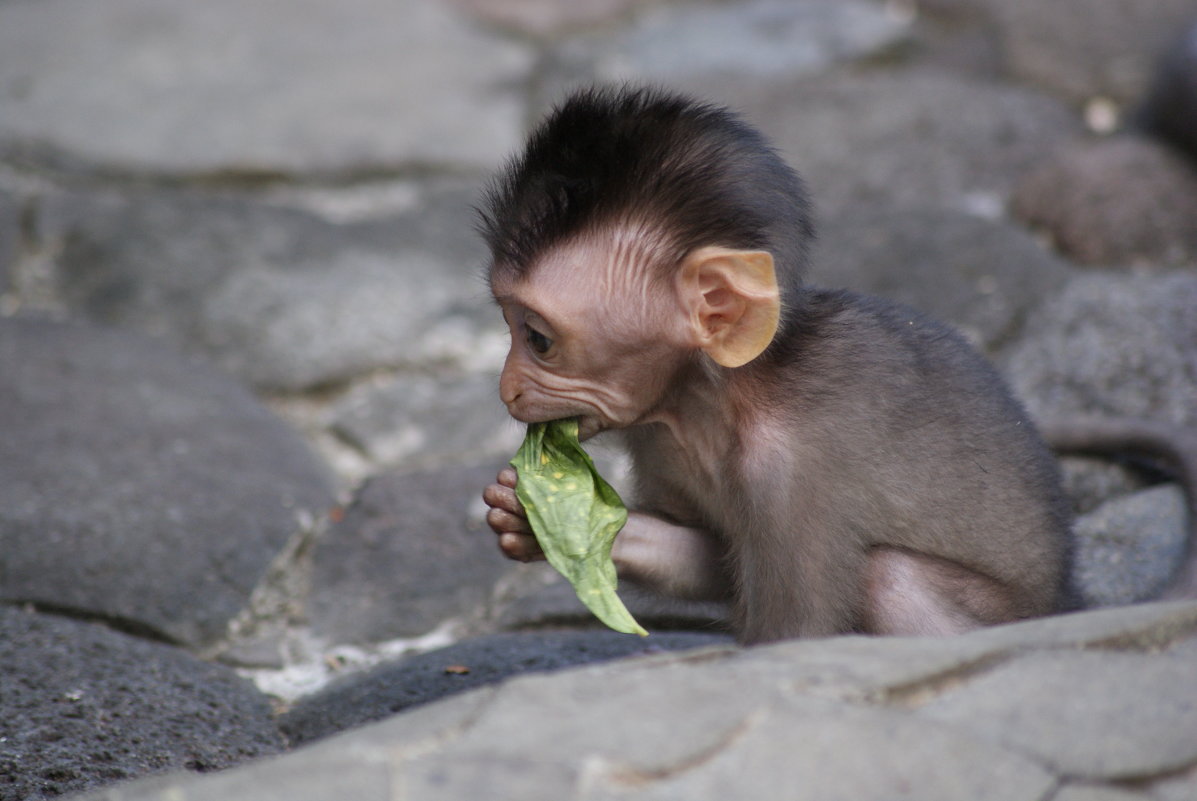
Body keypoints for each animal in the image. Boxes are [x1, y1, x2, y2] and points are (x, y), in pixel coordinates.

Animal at [476, 84, 1187, 641]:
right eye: (507, 324)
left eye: (537, 338)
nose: (507, 391)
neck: (716, 400)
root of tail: (1069, 605)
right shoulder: (659, 436)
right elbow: (714, 559)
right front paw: (532, 519)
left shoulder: (794, 474)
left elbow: (796, 634)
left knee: (890, 577)